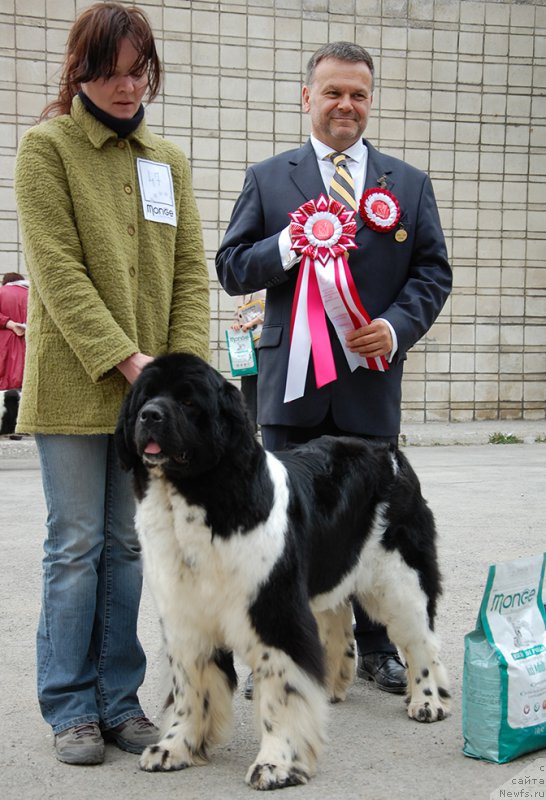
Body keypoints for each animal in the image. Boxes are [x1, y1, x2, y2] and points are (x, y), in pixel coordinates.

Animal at [113, 354, 446, 792]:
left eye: (187, 402)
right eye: (145, 397)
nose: (150, 415)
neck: (197, 498)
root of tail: (389, 453)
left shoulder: (275, 612)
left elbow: (280, 692)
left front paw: (276, 764)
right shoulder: (185, 616)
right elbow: (189, 688)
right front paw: (175, 747)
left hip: (400, 578)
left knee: (422, 640)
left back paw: (427, 700)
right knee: (338, 621)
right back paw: (332, 684)